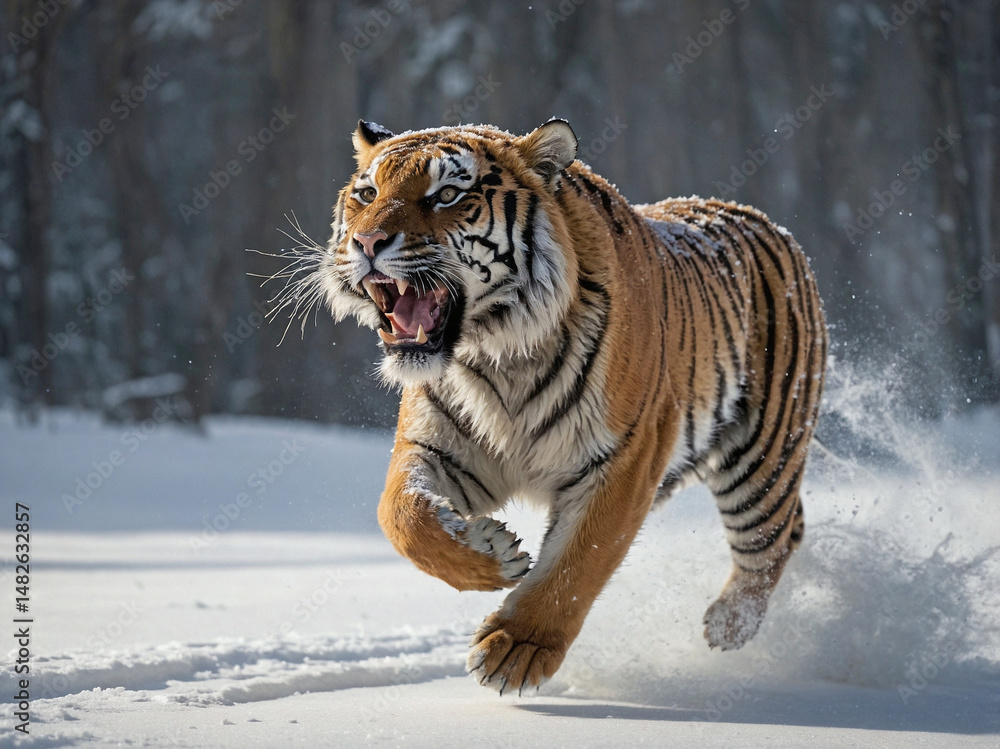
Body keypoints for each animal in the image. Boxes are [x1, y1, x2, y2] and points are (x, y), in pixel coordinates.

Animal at [274, 118, 827, 695]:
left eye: (447, 195)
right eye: (367, 194)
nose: (366, 242)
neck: (498, 354)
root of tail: (759, 219)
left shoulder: (624, 458)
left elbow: (576, 564)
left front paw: (514, 651)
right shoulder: (438, 446)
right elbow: (402, 516)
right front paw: (494, 555)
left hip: (762, 459)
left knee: (775, 537)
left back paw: (727, 624)